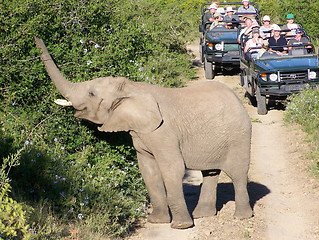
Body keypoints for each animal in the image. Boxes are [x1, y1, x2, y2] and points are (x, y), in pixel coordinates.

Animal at [35, 36, 254, 230]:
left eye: (91, 94)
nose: (37, 37)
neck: (132, 88)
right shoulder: (141, 133)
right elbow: (148, 170)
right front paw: (157, 221)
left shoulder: (164, 132)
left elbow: (172, 168)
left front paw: (181, 226)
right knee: (210, 173)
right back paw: (203, 215)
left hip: (239, 135)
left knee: (238, 174)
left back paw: (241, 217)